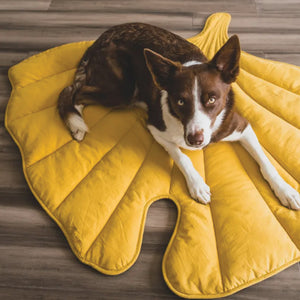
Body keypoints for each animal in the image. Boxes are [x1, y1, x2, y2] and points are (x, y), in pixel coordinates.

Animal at [57, 22, 298, 209]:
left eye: (212, 99)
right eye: (180, 101)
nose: (195, 140)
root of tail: (97, 41)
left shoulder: (241, 126)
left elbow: (266, 162)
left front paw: (285, 190)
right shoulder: (155, 127)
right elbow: (181, 156)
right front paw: (197, 184)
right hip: (122, 91)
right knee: (73, 91)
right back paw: (76, 123)